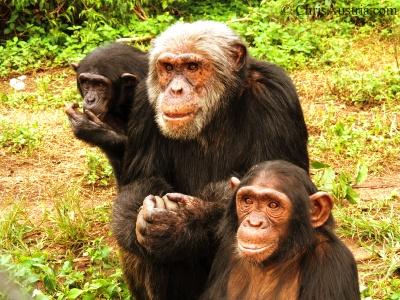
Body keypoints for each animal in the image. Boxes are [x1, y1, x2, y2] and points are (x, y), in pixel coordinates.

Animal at [112, 19, 310, 298]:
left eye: (192, 67)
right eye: (168, 67)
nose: (175, 89)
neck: (217, 111)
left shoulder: (277, 95)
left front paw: (181, 222)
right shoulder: (142, 102)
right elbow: (142, 180)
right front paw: (149, 222)